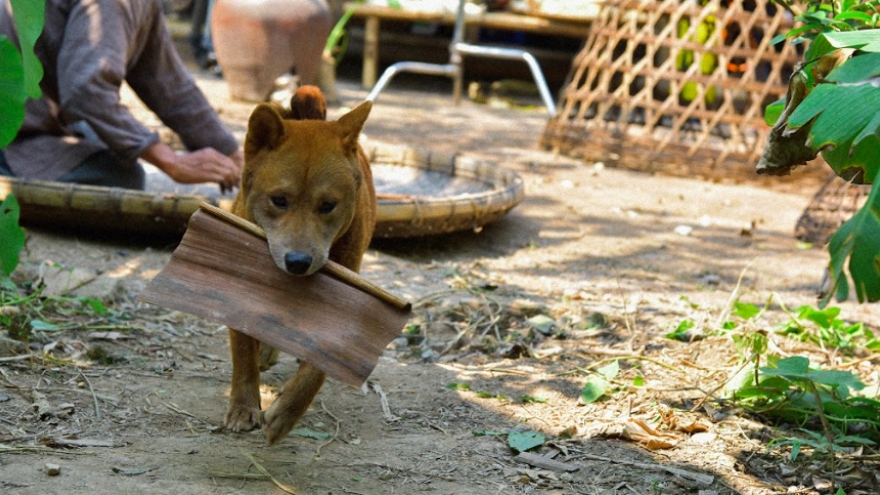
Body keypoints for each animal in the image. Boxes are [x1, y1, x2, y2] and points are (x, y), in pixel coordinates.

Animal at [223, 86, 374, 446]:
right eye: (279, 200)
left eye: (328, 205)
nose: (298, 262)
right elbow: (243, 353)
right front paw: (243, 407)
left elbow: (317, 367)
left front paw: (286, 413)